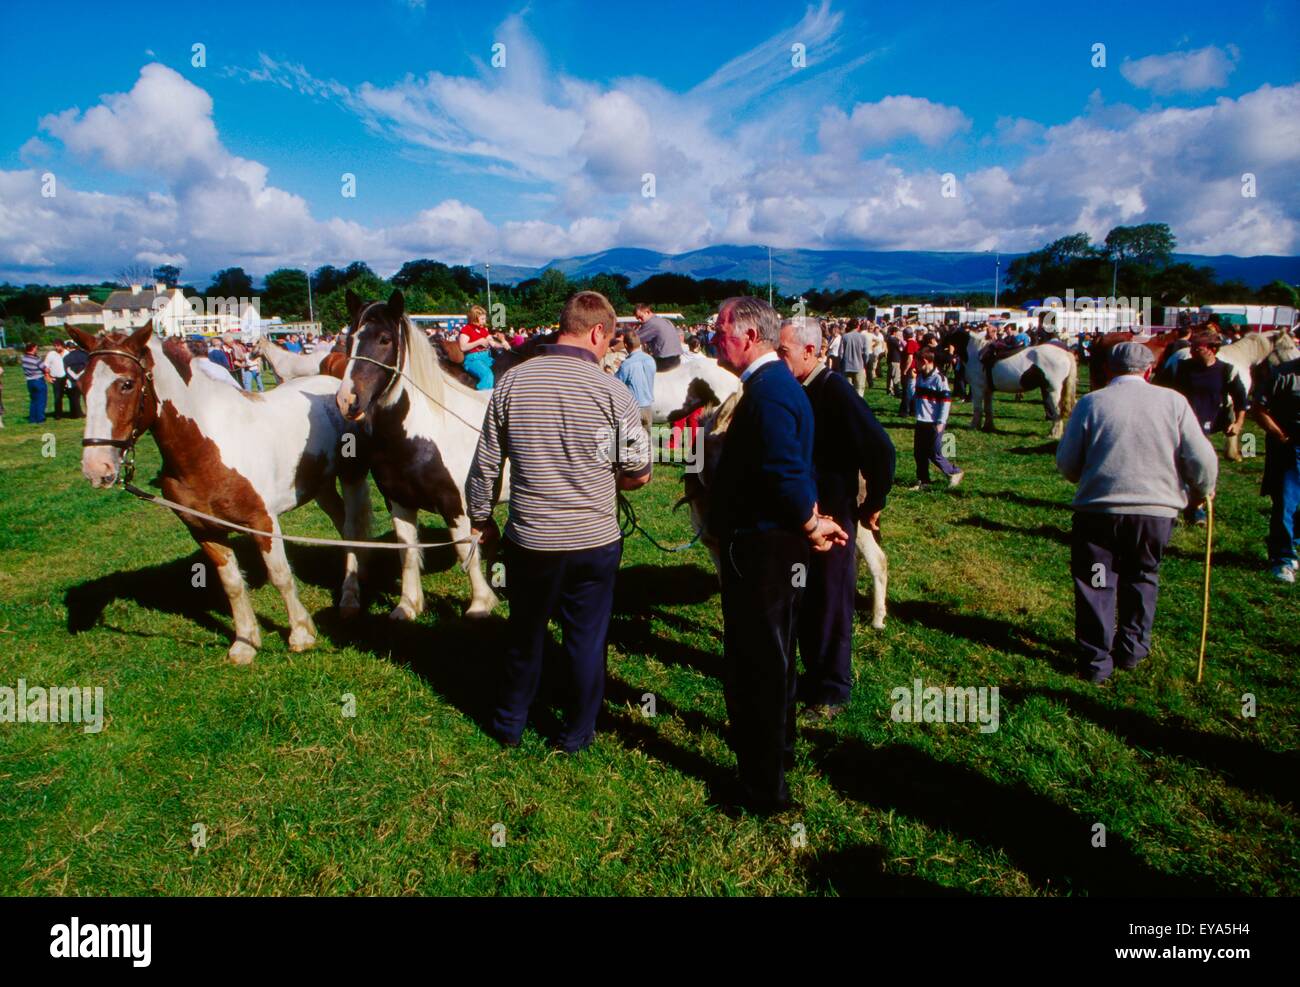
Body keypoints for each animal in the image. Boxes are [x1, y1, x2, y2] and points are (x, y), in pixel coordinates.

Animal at [332, 289, 499, 621]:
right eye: (350, 339)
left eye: (385, 339)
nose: (347, 400)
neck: (424, 433)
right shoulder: (399, 503)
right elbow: (407, 550)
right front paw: (407, 605)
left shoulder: (456, 506)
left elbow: (465, 550)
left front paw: (480, 604)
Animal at [946, 330, 1076, 436]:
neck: (977, 354)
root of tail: (1065, 353)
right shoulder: (988, 390)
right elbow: (988, 409)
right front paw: (988, 427)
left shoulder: (977, 388)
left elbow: (978, 409)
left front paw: (974, 426)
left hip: (1053, 391)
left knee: (1057, 411)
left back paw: (1053, 434)